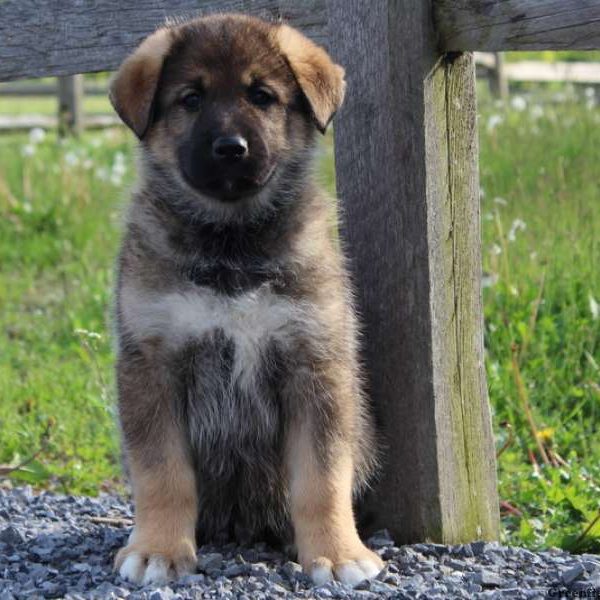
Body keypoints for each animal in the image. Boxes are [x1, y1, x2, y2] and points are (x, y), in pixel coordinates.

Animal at [109, 12, 382, 584]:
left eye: (262, 95)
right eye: (191, 98)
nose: (230, 148)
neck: (230, 240)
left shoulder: (313, 362)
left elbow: (322, 477)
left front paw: (338, 553)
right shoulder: (153, 364)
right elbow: (161, 473)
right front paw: (157, 548)